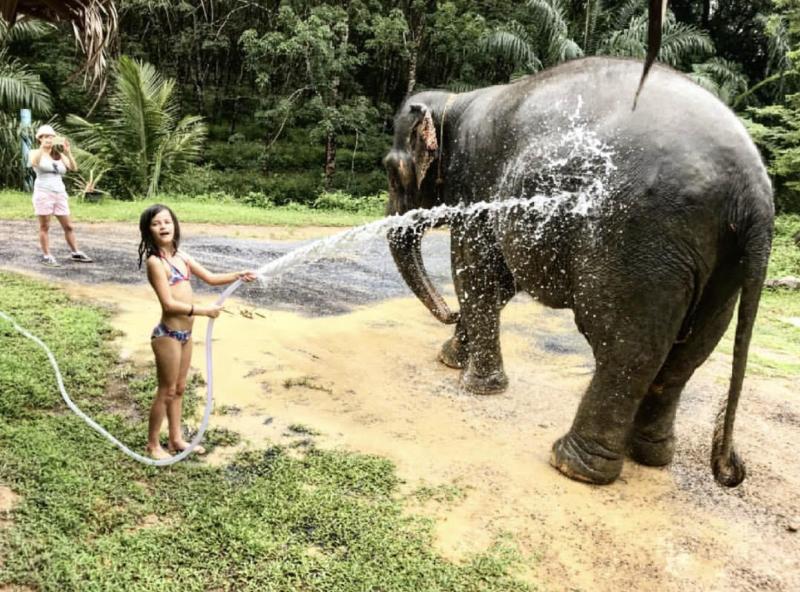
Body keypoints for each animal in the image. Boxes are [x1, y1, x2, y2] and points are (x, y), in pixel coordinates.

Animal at [383, 57, 774, 487]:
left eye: (391, 172)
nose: (447, 313)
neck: (454, 101)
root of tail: (754, 191)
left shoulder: (478, 182)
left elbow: (475, 270)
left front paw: (473, 384)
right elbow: (498, 282)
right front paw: (452, 359)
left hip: (638, 239)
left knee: (627, 349)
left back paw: (572, 465)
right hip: (724, 264)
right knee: (688, 354)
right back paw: (650, 456)